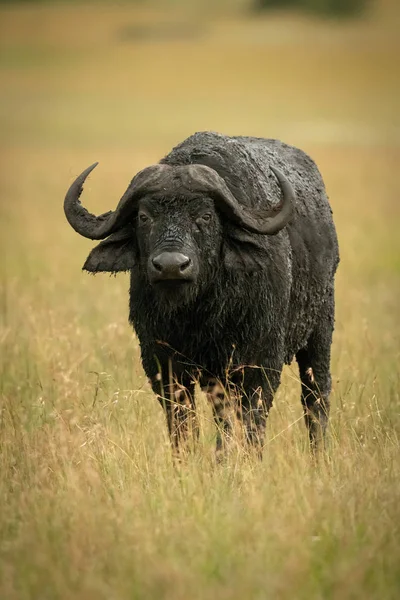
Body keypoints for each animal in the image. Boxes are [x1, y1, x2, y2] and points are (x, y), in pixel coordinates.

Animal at [64, 132, 340, 460]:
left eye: (206, 216)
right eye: (144, 216)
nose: (171, 265)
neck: (199, 315)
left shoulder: (262, 363)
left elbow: (253, 419)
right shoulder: (163, 365)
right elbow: (183, 423)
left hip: (320, 331)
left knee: (315, 396)